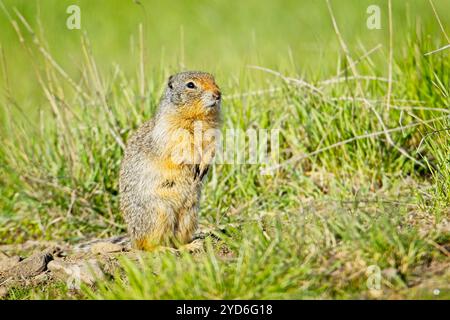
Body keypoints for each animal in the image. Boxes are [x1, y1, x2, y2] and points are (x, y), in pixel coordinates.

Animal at [118, 71, 220, 251]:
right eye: (190, 85)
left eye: (214, 80)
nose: (218, 94)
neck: (198, 118)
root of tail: (132, 239)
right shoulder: (171, 130)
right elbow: (182, 146)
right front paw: (194, 163)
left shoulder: (212, 133)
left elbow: (210, 148)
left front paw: (203, 167)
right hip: (159, 213)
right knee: (148, 245)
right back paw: (163, 249)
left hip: (189, 215)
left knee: (177, 240)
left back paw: (191, 245)